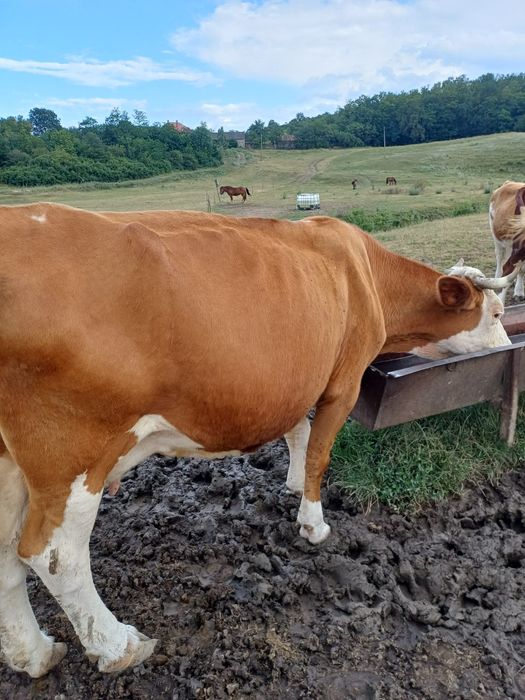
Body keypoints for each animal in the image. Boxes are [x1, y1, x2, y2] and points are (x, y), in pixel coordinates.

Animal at [0, 203, 517, 678]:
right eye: (493, 312)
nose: (508, 347)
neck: (364, 273)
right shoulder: (343, 382)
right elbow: (320, 453)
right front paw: (313, 523)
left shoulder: (296, 382)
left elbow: (298, 431)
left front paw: (292, 482)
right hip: (74, 453)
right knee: (54, 556)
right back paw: (117, 645)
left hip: (11, 465)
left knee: (7, 558)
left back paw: (34, 653)